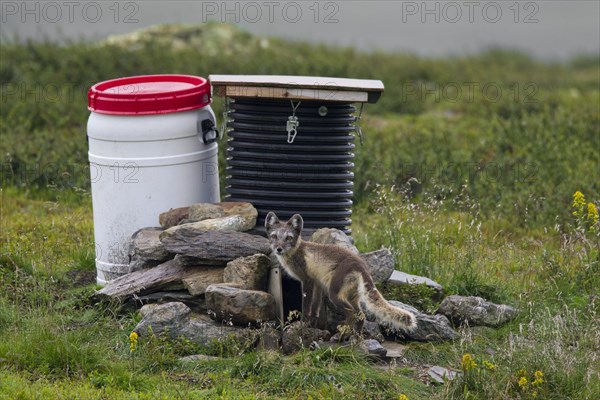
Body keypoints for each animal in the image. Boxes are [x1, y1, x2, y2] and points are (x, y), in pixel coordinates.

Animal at [268, 211, 418, 336]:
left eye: (288, 238)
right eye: (274, 236)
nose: (279, 249)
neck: (296, 251)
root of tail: (361, 265)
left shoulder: (307, 280)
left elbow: (306, 307)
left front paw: (302, 325)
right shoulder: (317, 283)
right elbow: (315, 308)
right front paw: (313, 325)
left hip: (334, 294)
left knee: (352, 314)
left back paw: (343, 335)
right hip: (351, 297)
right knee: (361, 315)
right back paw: (355, 337)